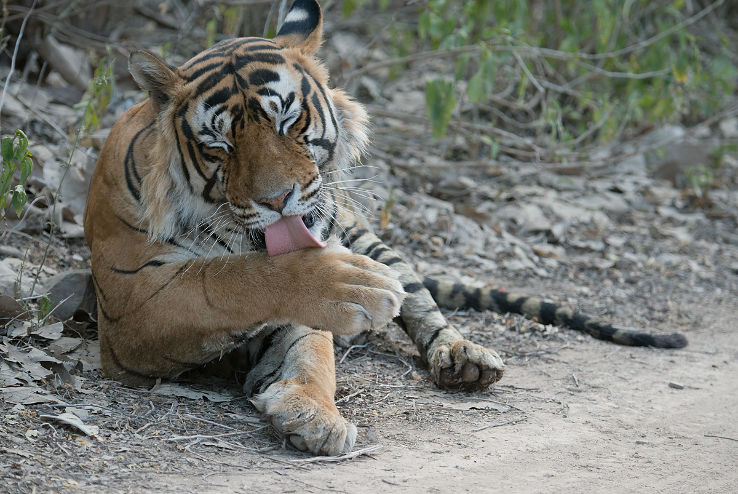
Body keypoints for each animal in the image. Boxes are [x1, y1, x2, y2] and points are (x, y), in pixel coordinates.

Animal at [83, 0, 687, 456]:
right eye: (219, 145)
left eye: (288, 121)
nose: (276, 200)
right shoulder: (133, 307)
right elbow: (229, 280)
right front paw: (348, 290)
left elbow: (313, 353)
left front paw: (312, 412)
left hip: (370, 238)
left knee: (424, 306)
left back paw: (464, 357)